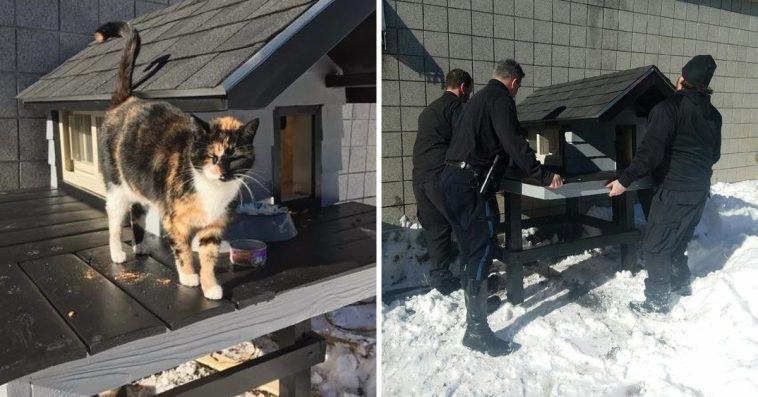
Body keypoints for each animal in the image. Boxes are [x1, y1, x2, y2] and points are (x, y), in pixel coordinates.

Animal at [94, 21, 262, 298]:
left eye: (235, 157)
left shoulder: (213, 226)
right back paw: (117, 252)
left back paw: (140, 246)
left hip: (140, 185)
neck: (211, 192)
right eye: (211, 156)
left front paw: (211, 286)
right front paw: (188, 276)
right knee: (115, 220)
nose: (222, 172)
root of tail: (125, 100)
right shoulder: (174, 221)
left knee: (137, 211)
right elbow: (182, 250)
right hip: (116, 186)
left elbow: (208, 256)